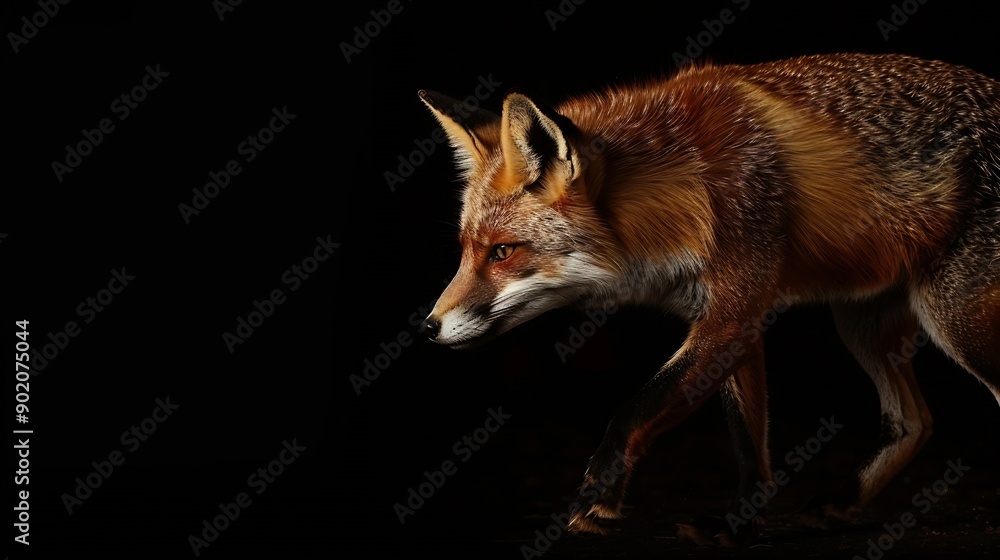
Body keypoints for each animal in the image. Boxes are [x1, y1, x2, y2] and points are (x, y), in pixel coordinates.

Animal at [416, 53, 1000, 543]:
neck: (686, 189)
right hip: (861, 324)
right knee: (915, 422)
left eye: (503, 252)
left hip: (953, 320)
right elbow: (748, 447)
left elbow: (634, 410)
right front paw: (741, 523)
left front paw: (600, 495)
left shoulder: (732, 313)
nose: (428, 327)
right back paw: (844, 500)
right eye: (466, 250)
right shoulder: (734, 319)